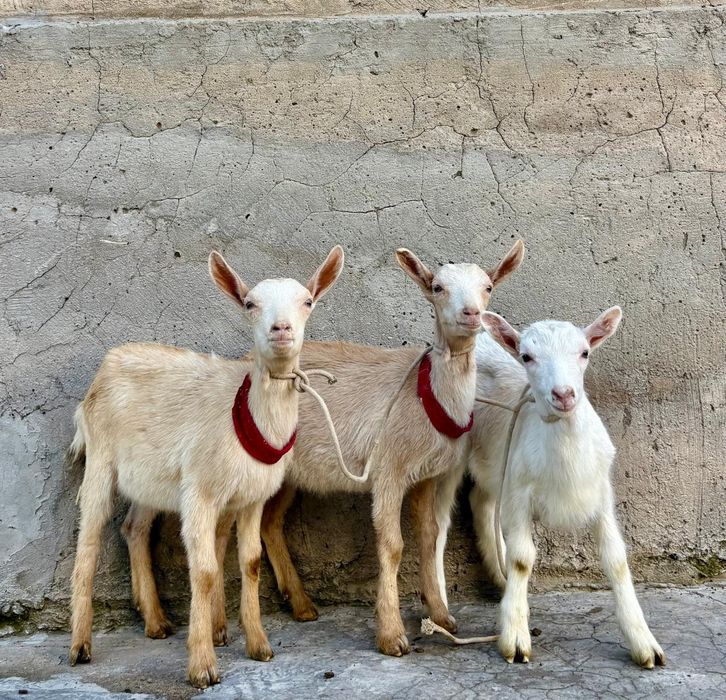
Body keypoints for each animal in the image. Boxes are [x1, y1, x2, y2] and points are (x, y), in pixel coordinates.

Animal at [67, 246, 344, 688]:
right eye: (250, 304)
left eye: (307, 301)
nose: (281, 329)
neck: (246, 412)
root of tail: (106, 365)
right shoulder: (200, 492)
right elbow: (205, 570)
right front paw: (202, 664)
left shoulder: (251, 497)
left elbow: (249, 563)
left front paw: (259, 645)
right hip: (101, 457)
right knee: (89, 539)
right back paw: (80, 645)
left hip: (152, 478)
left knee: (134, 527)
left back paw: (156, 621)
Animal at [445, 308, 665, 668]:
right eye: (526, 356)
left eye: (585, 352)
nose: (563, 395)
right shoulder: (520, 494)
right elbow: (523, 558)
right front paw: (515, 637)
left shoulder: (600, 493)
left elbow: (616, 559)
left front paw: (644, 643)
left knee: (482, 501)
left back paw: (499, 576)